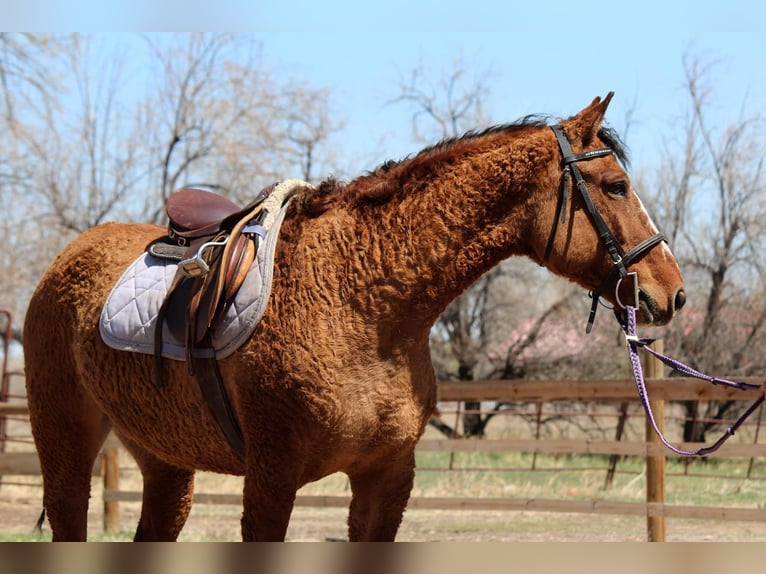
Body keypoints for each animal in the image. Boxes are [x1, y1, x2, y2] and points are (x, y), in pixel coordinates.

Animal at [23, 93, 685, 541]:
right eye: (616, 185)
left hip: (163, 460)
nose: (674, 292)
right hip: (65, 446)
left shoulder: (385, 479)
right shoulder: (271, 481)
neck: (362, 304)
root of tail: (66, 259)